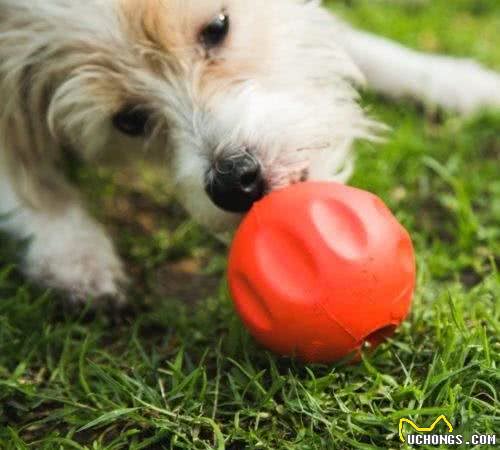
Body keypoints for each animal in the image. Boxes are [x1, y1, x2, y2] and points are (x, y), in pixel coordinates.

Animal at [0, 0, 500, 306]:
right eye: (129, 120)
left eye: (218, 28)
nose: (234, 181)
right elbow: (25, 182)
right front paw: (72, 247)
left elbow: (347, 38)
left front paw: (454, 81)